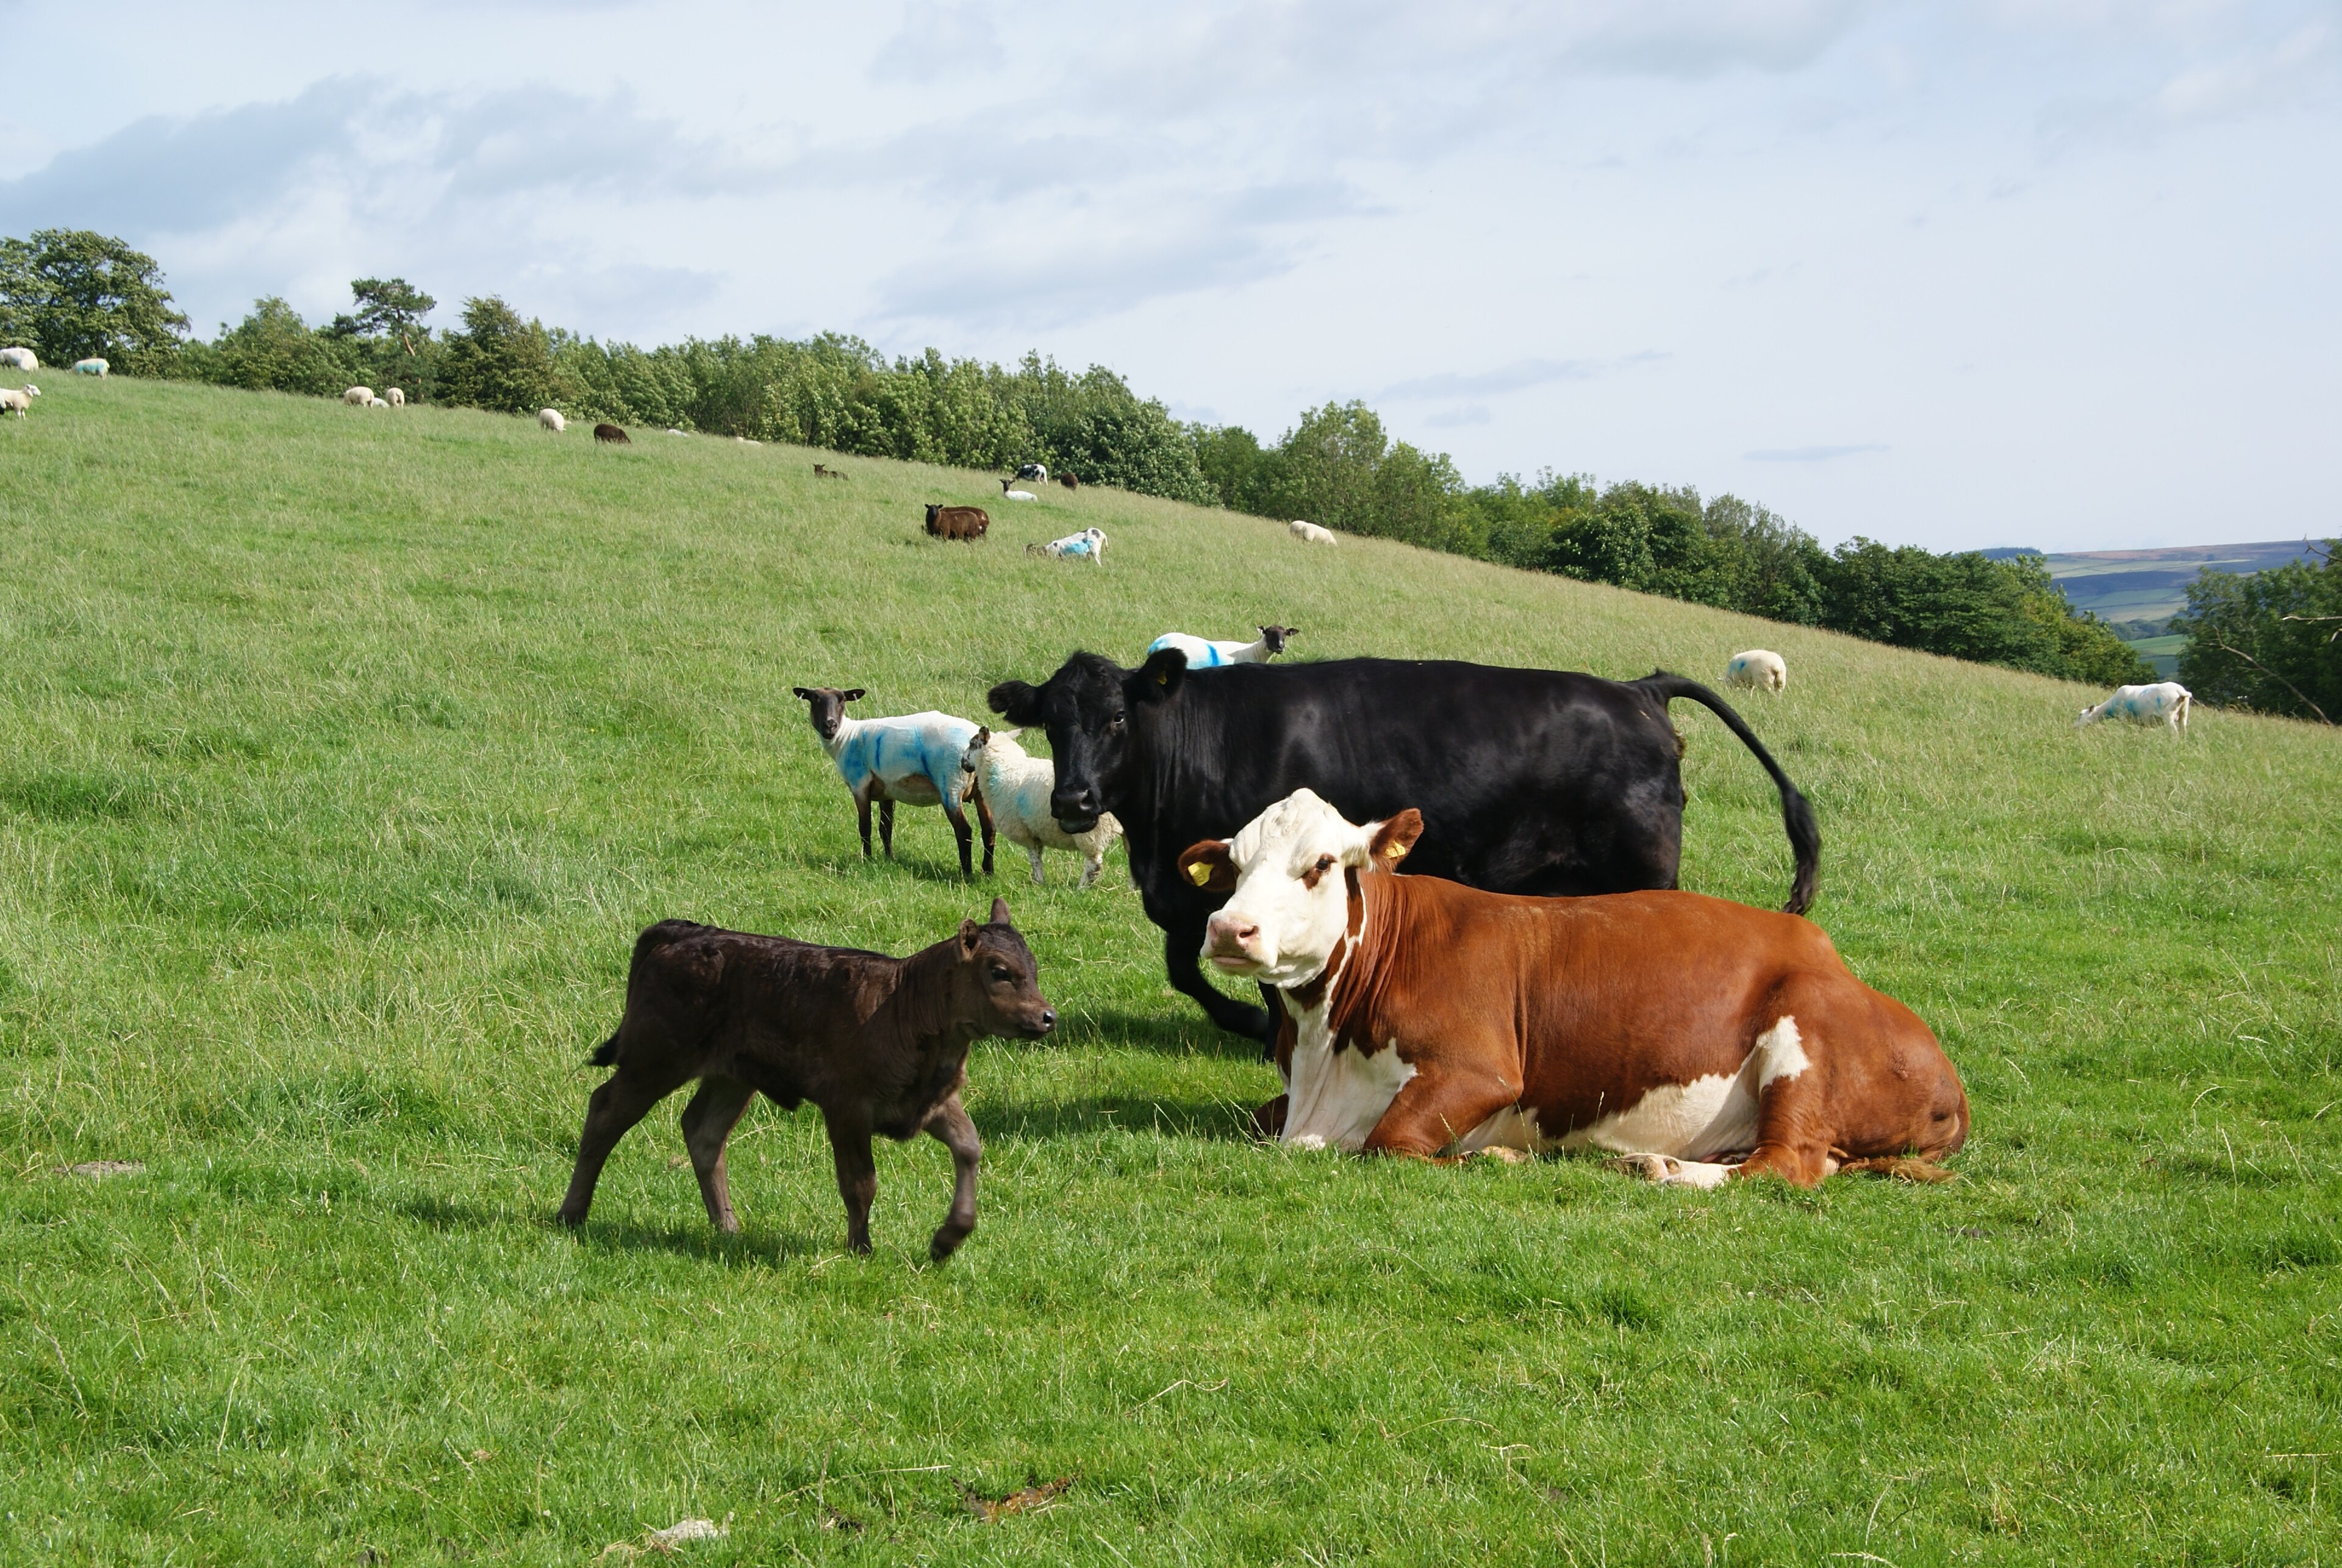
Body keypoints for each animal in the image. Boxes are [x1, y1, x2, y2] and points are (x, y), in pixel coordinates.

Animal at [557, 901, 1056, 1259]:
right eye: (999, 971)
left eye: (1034, 968)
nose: (1047, 1017)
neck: (903, 1004)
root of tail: (687, 932)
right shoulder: (847, 1107)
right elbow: (860, 1182)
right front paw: (861, 1249)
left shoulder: (930, 1102)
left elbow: (969, 1147)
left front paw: (948, 1239)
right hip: (655, 1059)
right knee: (605, 1111)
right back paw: (571, 1214)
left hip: (732, 1076)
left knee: (703, 1132)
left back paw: (728, 1228)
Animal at [960, 727, 1121, 889]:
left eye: (972, 744)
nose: (962, 762)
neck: (1007, 769)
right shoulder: (1035, 830)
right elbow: (1038, 855)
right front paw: (1040, 883)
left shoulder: (1025, 832)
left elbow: (1034, 859)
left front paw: (1038, 882)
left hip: (1092, 831)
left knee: (1094, 863)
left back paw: (1081, 888)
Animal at [987, 651, 1820, 1043]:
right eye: (1052, 723)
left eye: (1117, 719)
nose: (1073, 801)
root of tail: (1638, 689)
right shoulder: (1192, 895)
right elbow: (1185, 973)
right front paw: (1255, 1027)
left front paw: (1268, 1032)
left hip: (1643, 875)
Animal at [1178, 789, 1967, 1185]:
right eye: (1235, 864)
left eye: (1317, 865)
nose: (1229, 929)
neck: (1325, 1057)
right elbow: (1260, 1117)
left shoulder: (1480, 1071)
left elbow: (1392, 1140)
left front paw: (1496, 1156)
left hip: (1803, 1036)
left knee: (1785, 1167)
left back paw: (1668, 1171)